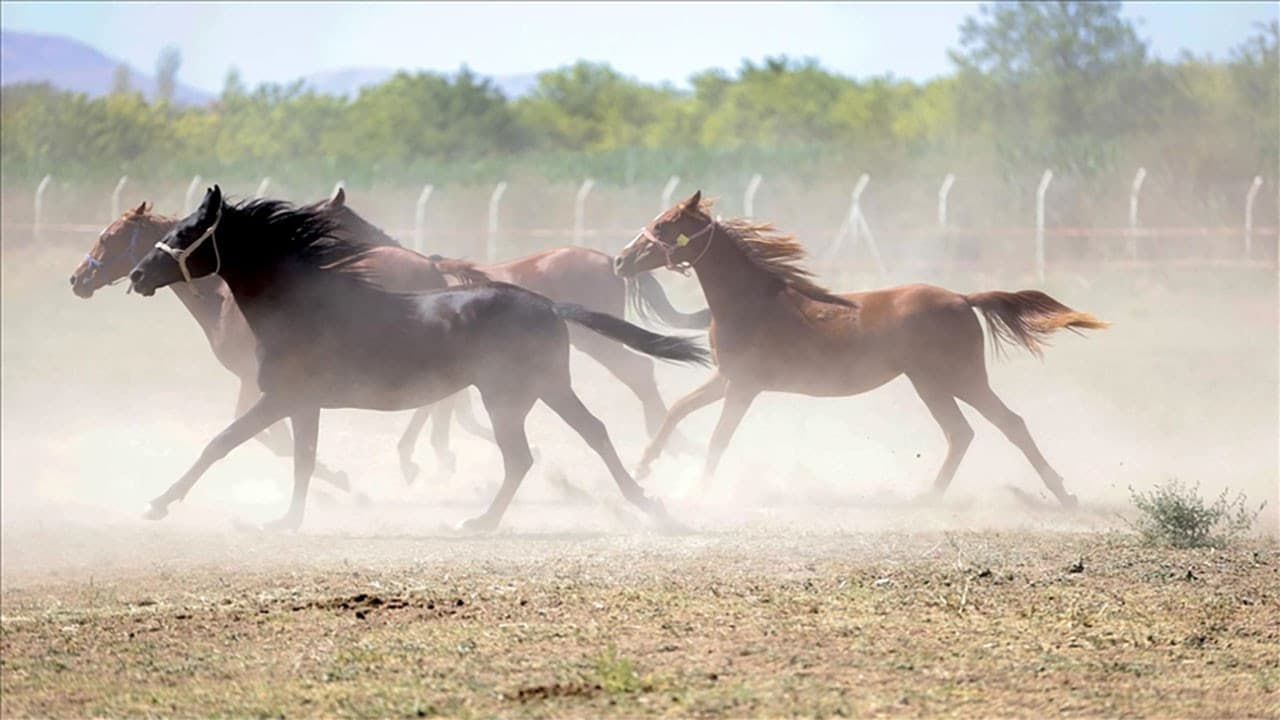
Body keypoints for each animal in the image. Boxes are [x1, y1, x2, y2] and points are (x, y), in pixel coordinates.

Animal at [69, 193, 493, 489]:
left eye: (109, 237)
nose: (77, 280)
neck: (227, 300)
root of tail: (432, 266)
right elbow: (275, 437)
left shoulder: (256, 381)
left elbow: (266, 437)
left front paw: (339, 483)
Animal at [127, 186, 711, 532]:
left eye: (184, 233)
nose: (135, 274)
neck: (300, 305)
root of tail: (546, 303)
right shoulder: (303, 403)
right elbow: (302, 458)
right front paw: (288, 520)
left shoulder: (283, 397)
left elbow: (222, 442)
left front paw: (158, 502)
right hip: (546, 388)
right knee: (591, 433)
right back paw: (647, 502)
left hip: (509, 396)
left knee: (524, 456)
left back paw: (481, 521)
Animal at [611, 191, 1109, 508]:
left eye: (663, 225)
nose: (619, 260)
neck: (750, 302)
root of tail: (963, 298)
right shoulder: (725, 378)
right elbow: (678, 409)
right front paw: (644, 466)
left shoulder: (744, 387)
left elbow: (718, 439)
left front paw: (694, 491)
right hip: (934, 382)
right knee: (966, 432)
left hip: (953, 378)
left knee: (1003, 425)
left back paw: (1055, 495)